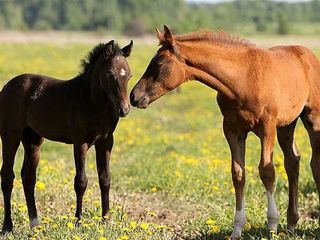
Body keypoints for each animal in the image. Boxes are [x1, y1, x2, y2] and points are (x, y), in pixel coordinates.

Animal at [0, 39, 132, 232]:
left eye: (129, 75)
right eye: (109, 74)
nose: (124, 109)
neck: (91, 101)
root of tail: (7, 86)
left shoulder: (106, 141)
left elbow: (105, 179)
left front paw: (106, 221)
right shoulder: (80, 142)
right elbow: (81, 181)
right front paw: (78, 221)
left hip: (33, 139)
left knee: (28, 176)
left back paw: (35, 223)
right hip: (10, 135)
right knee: (7, 176)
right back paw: (7, 226)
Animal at [129, 26, 320, 238]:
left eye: (158, 64)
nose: (134, 96)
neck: (243, 79)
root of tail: (308, 54)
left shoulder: (267, 127)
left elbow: (267, 171)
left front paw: (271, 226)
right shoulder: (232, 130)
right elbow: (238, 174)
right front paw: (237, 230)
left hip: (311, 118)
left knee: (314, 162)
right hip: (287, 124)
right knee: (292, 161)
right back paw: (292, 223)